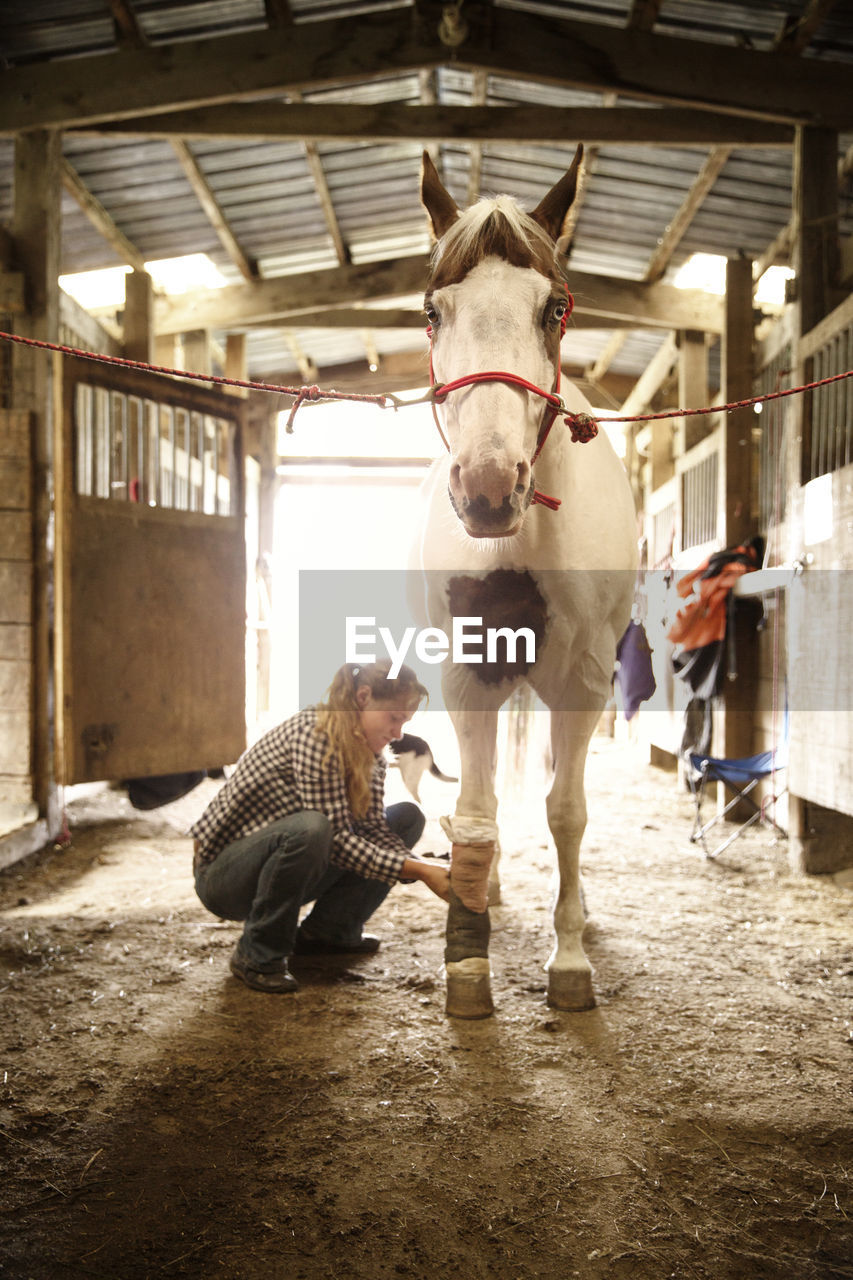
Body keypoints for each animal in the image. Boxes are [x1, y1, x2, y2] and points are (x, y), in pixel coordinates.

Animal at [409, 142, 635, 1018]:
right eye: (432, 311)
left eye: (554, 307)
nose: (486, 487)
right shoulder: (466, 674)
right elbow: (474, 809)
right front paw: (468, 965)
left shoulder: (583, 680)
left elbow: (566, 812)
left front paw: (568, 959)